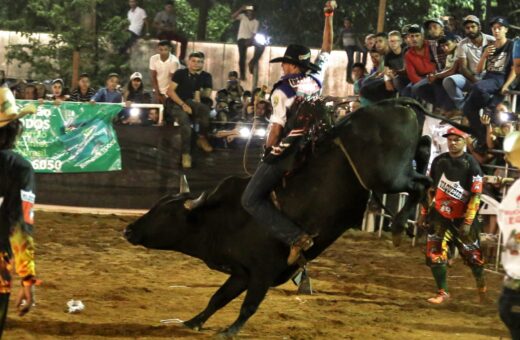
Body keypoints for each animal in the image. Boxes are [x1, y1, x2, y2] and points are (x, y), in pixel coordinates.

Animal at [124, 97, 462, 338]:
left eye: (165, 212)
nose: (129, 229)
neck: (221, 218)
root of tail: (394, 104)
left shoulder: (262, 272)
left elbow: (248, 305)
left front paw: (228, 331)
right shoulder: (241, 273)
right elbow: (218, 298)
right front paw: (193, 322)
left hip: (387, 177)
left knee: (421, 183)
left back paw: (400, 225)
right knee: (425, 155)